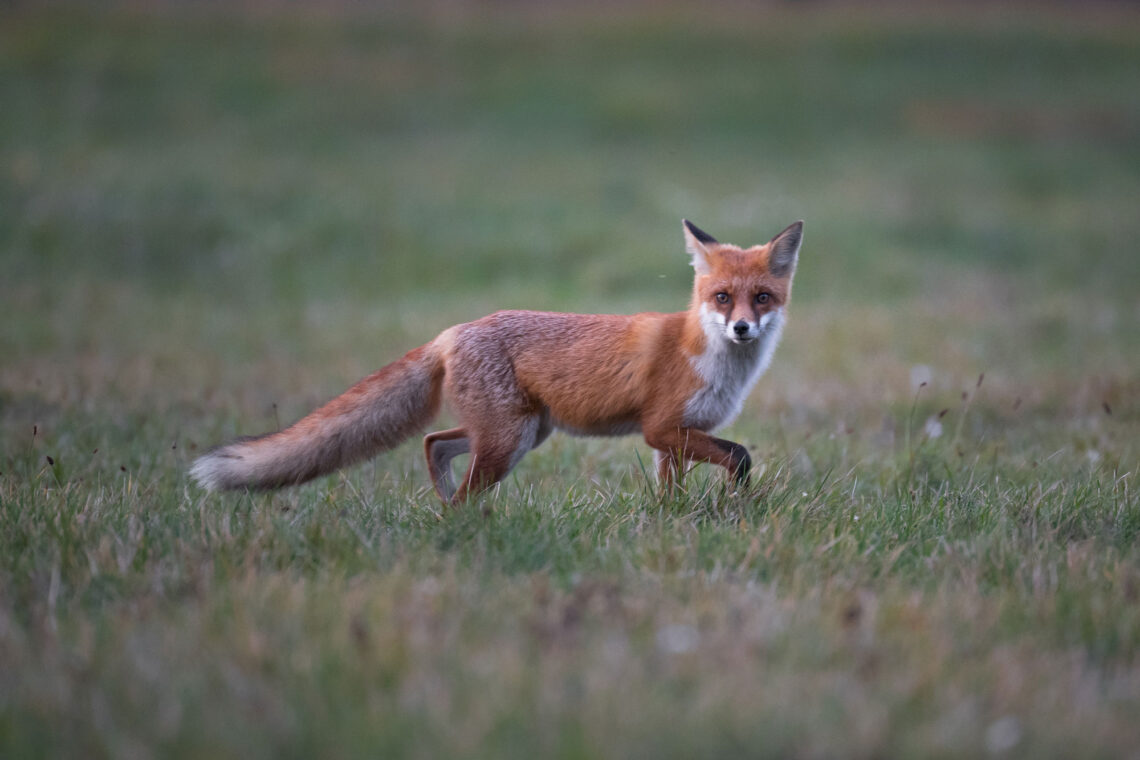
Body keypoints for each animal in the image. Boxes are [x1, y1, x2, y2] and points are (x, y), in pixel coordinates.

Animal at [191, 219, 802, 505]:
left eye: (761, 298)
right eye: (722, 298)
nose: (742, 328)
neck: (711, 358)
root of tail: (452, 331)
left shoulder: (671, 438)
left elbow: (672, 491)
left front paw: (674, 523)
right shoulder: (660, 428)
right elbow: (740, 455)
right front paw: (734, 499)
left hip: (518, 433)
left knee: (433, 443)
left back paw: (444, 504)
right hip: (509, 439)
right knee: (454, 478)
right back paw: (458, 524)